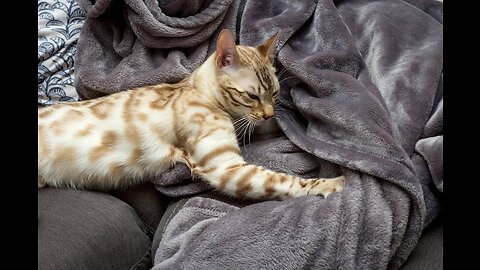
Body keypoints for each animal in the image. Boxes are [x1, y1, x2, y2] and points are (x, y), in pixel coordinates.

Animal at [37, 29, 344, 200]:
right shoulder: (225, 167)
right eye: (252, 95)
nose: (268, 113)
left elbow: (274, 129)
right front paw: (335, 183)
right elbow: (285, 181)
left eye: (275, 94)